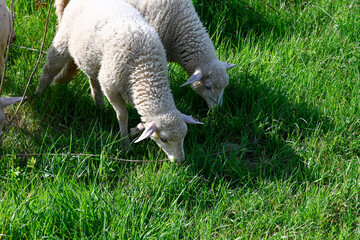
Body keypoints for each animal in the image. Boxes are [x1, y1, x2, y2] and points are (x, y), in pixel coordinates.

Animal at [38, 0, 205, 163]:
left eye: (185, 135)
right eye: (164, 139)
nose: (180, 161)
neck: (144, 69)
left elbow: (143, 122)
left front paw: (134, 131)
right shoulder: (110, 88)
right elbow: (123, 115)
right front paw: (126, 145)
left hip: (92, 59)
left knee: (93, 79)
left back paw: (99, 106)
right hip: (64, 38)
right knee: (49, 69)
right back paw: (38, 95)